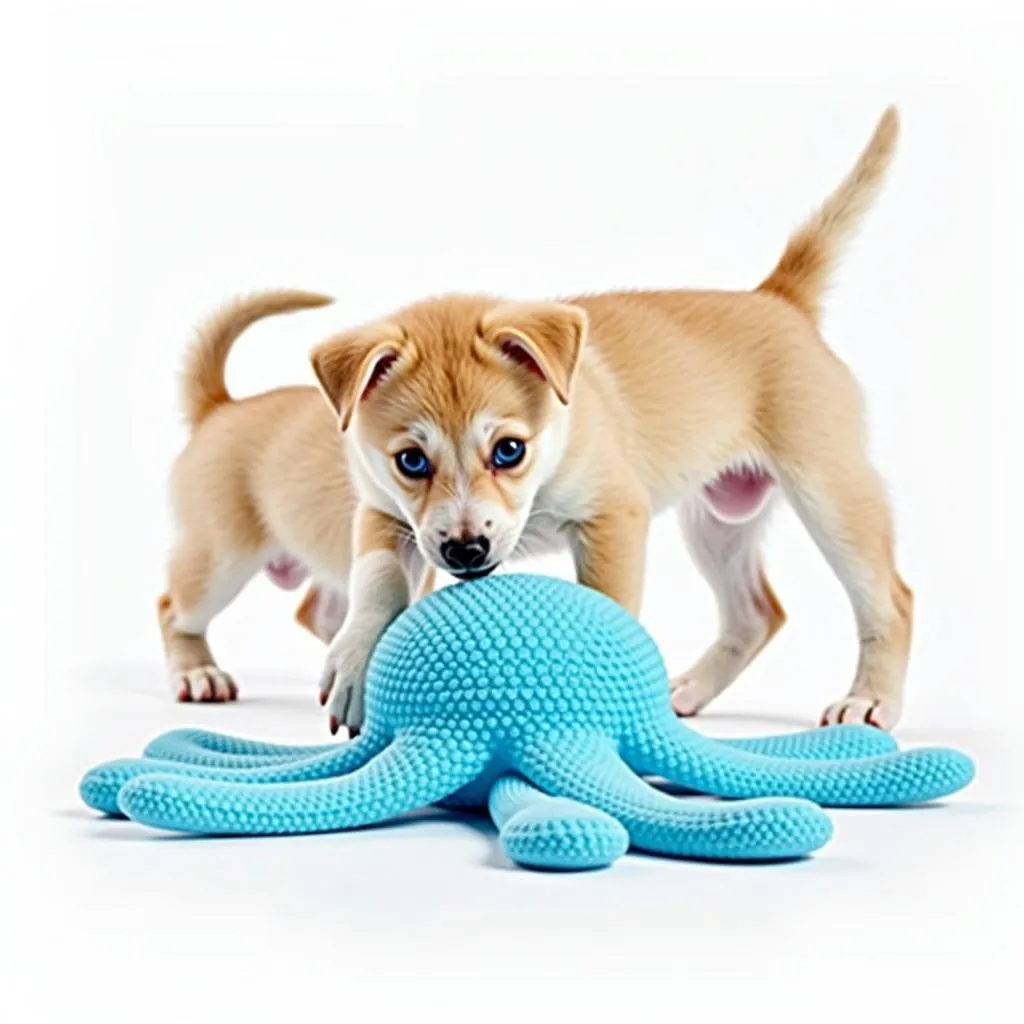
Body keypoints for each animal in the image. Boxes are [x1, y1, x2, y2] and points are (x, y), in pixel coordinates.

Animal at [161, 108, 913, 737]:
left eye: (508, 450)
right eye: (411, 461)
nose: (466, 551)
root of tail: (777, 297)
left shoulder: (614, 519)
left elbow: (609, 601)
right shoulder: (381, 516)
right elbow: (376, 584)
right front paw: (355, 663)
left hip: (827, 490)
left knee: (888, 599)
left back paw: (866, 701)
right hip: (717, 523)